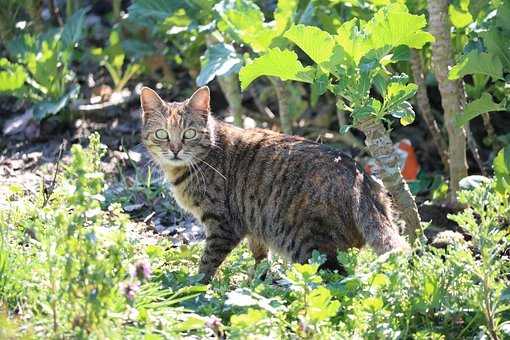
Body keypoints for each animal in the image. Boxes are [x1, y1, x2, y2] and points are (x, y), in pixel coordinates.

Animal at [140, 86, 410, 282]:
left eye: (189, 134)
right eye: (162, 134)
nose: (175, 149)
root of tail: (360, 177)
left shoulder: (223, 224)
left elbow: (207, 262)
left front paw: (192, 286)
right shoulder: (254, 224)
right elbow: (260, 257)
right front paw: (256, 282)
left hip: (310, 245)